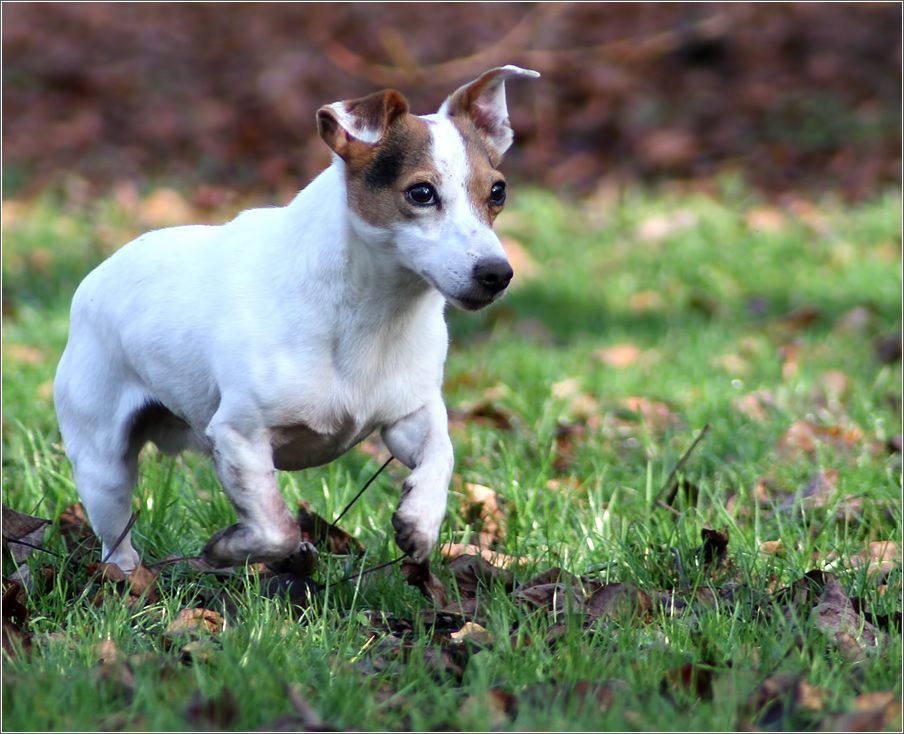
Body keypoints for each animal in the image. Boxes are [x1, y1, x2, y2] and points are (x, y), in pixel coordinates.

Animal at [51, 66, 536, 572]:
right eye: (421, 192)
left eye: (497, 191)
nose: (497, 274)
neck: (374, 316)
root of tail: (95, 277)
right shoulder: (239, 437)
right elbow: (275, 528)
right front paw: (230, 547)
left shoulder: (408, 414)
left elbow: (440, 453)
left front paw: (420, 519)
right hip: (102, 463)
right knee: (116, 537)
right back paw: (128, 577)